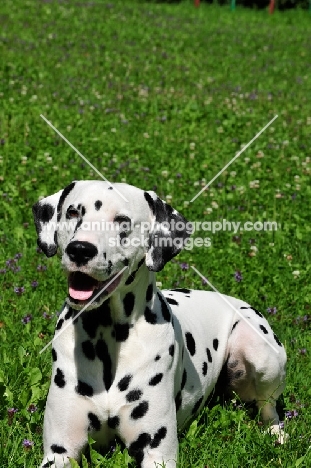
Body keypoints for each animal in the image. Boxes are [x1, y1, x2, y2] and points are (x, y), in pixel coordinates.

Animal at [33, 182, 288, 468]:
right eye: (73, 212)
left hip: (259, 350)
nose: (79, 249)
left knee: (269, 407)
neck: (108, 336)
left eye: (123, 221)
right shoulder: (59, 452)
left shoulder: (157, 454)